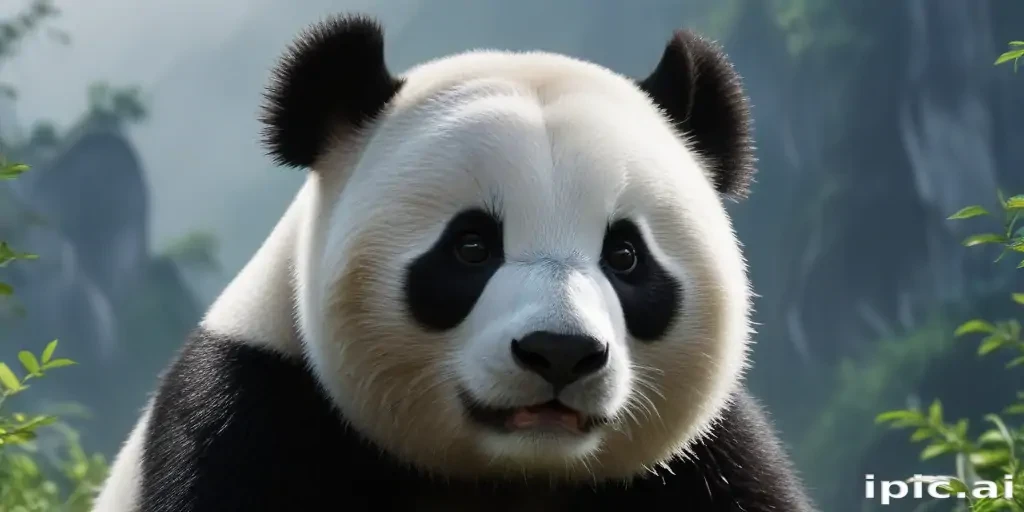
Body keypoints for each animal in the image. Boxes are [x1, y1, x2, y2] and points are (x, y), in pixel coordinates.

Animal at [94, 13, 815, 512]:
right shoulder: (252, 415)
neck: (510, 472)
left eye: (626, 255)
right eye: (471, 246)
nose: (561, 352)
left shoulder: (708, 462)